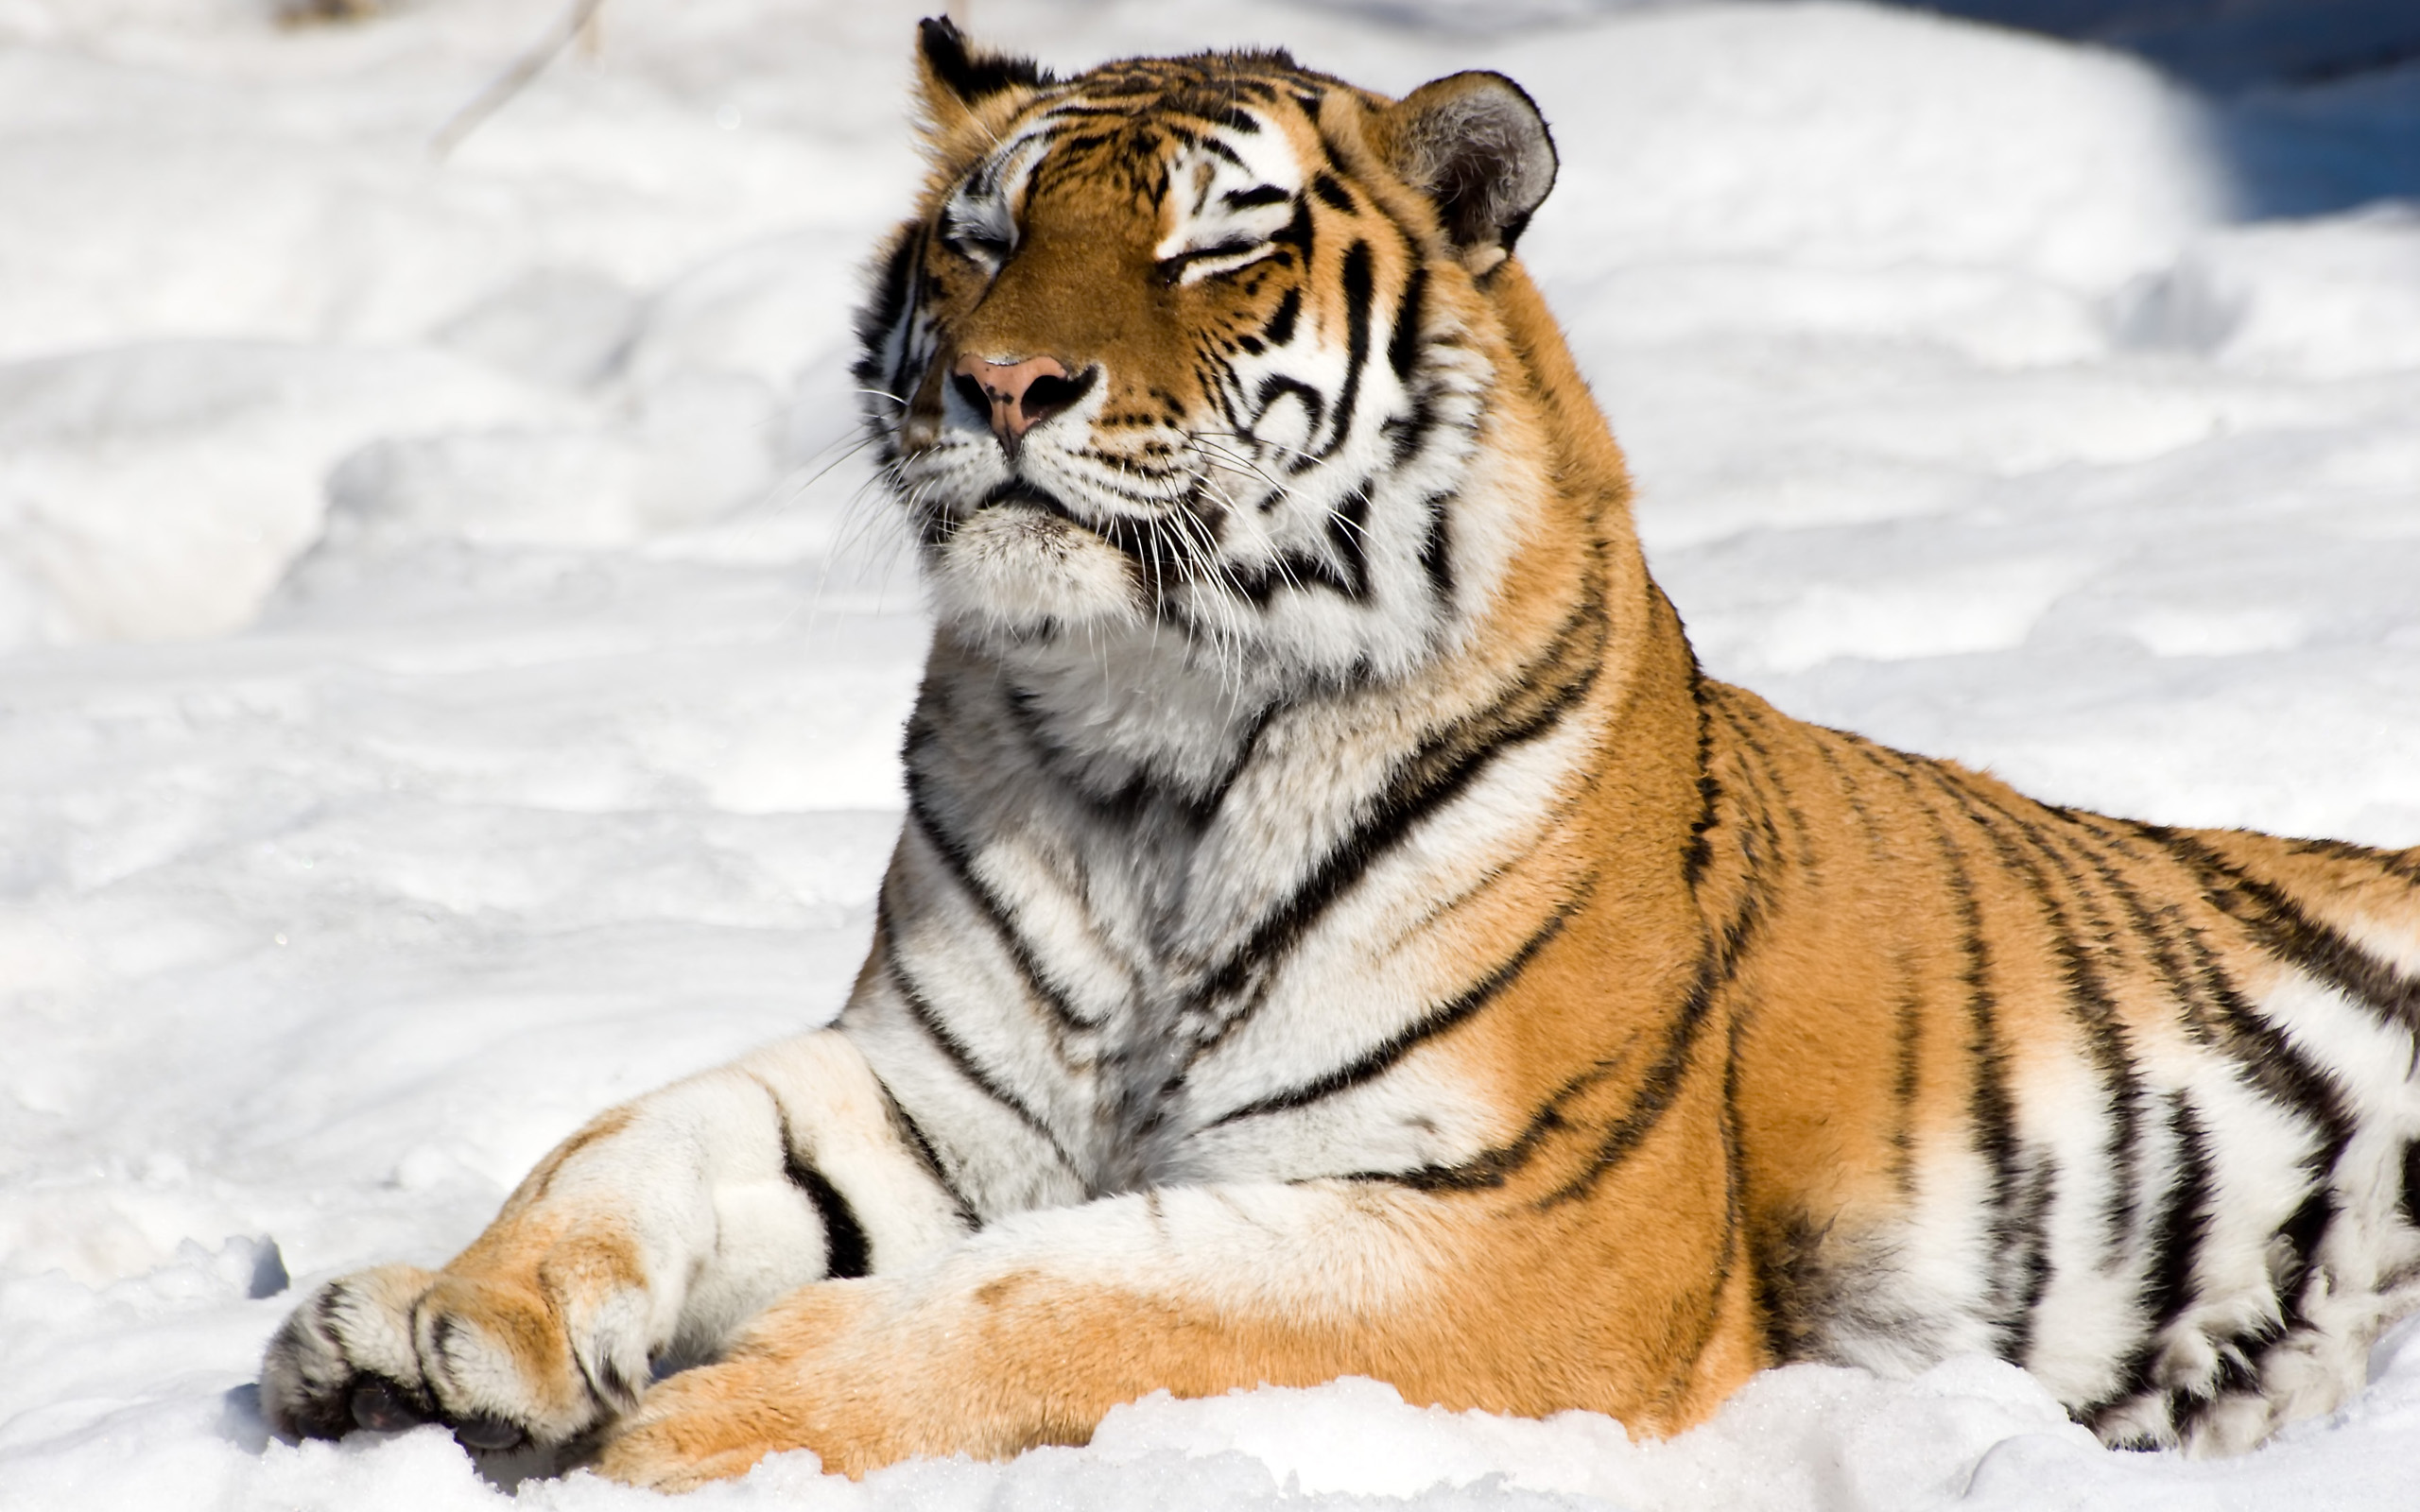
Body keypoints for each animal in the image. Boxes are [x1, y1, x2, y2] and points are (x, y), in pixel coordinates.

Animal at [255, 20, 2420, 1489]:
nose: (1004, 385)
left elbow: (1069, 1292)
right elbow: (646, 1128)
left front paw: (719, 1423)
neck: (1143, 737)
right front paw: (435, 1327)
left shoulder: (1516, 1234)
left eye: (1212, 252)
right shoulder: (933, 1094)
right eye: (979, 238)